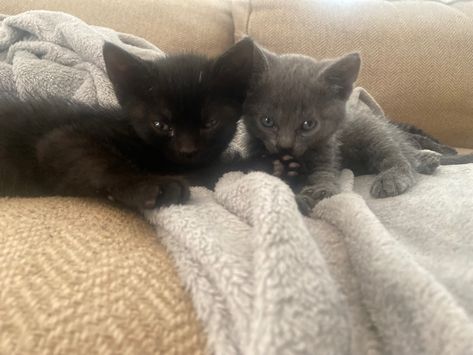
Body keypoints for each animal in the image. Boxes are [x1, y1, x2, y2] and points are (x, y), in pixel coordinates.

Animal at [0, 39, 254, 211]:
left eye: (210, 123)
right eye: (160, 124)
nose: (187, 151)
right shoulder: (59, 140)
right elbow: (103, 161)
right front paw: (152, 185)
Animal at [238, 40, 470, 216]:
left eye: (308, 124)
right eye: (267, 121)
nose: (284, 147)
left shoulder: (328, 151)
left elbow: (324, 175)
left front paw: (315, 193)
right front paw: (285, 177)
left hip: (373, 134)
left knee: (399, 157)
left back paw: (397, 175)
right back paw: (427, 160)